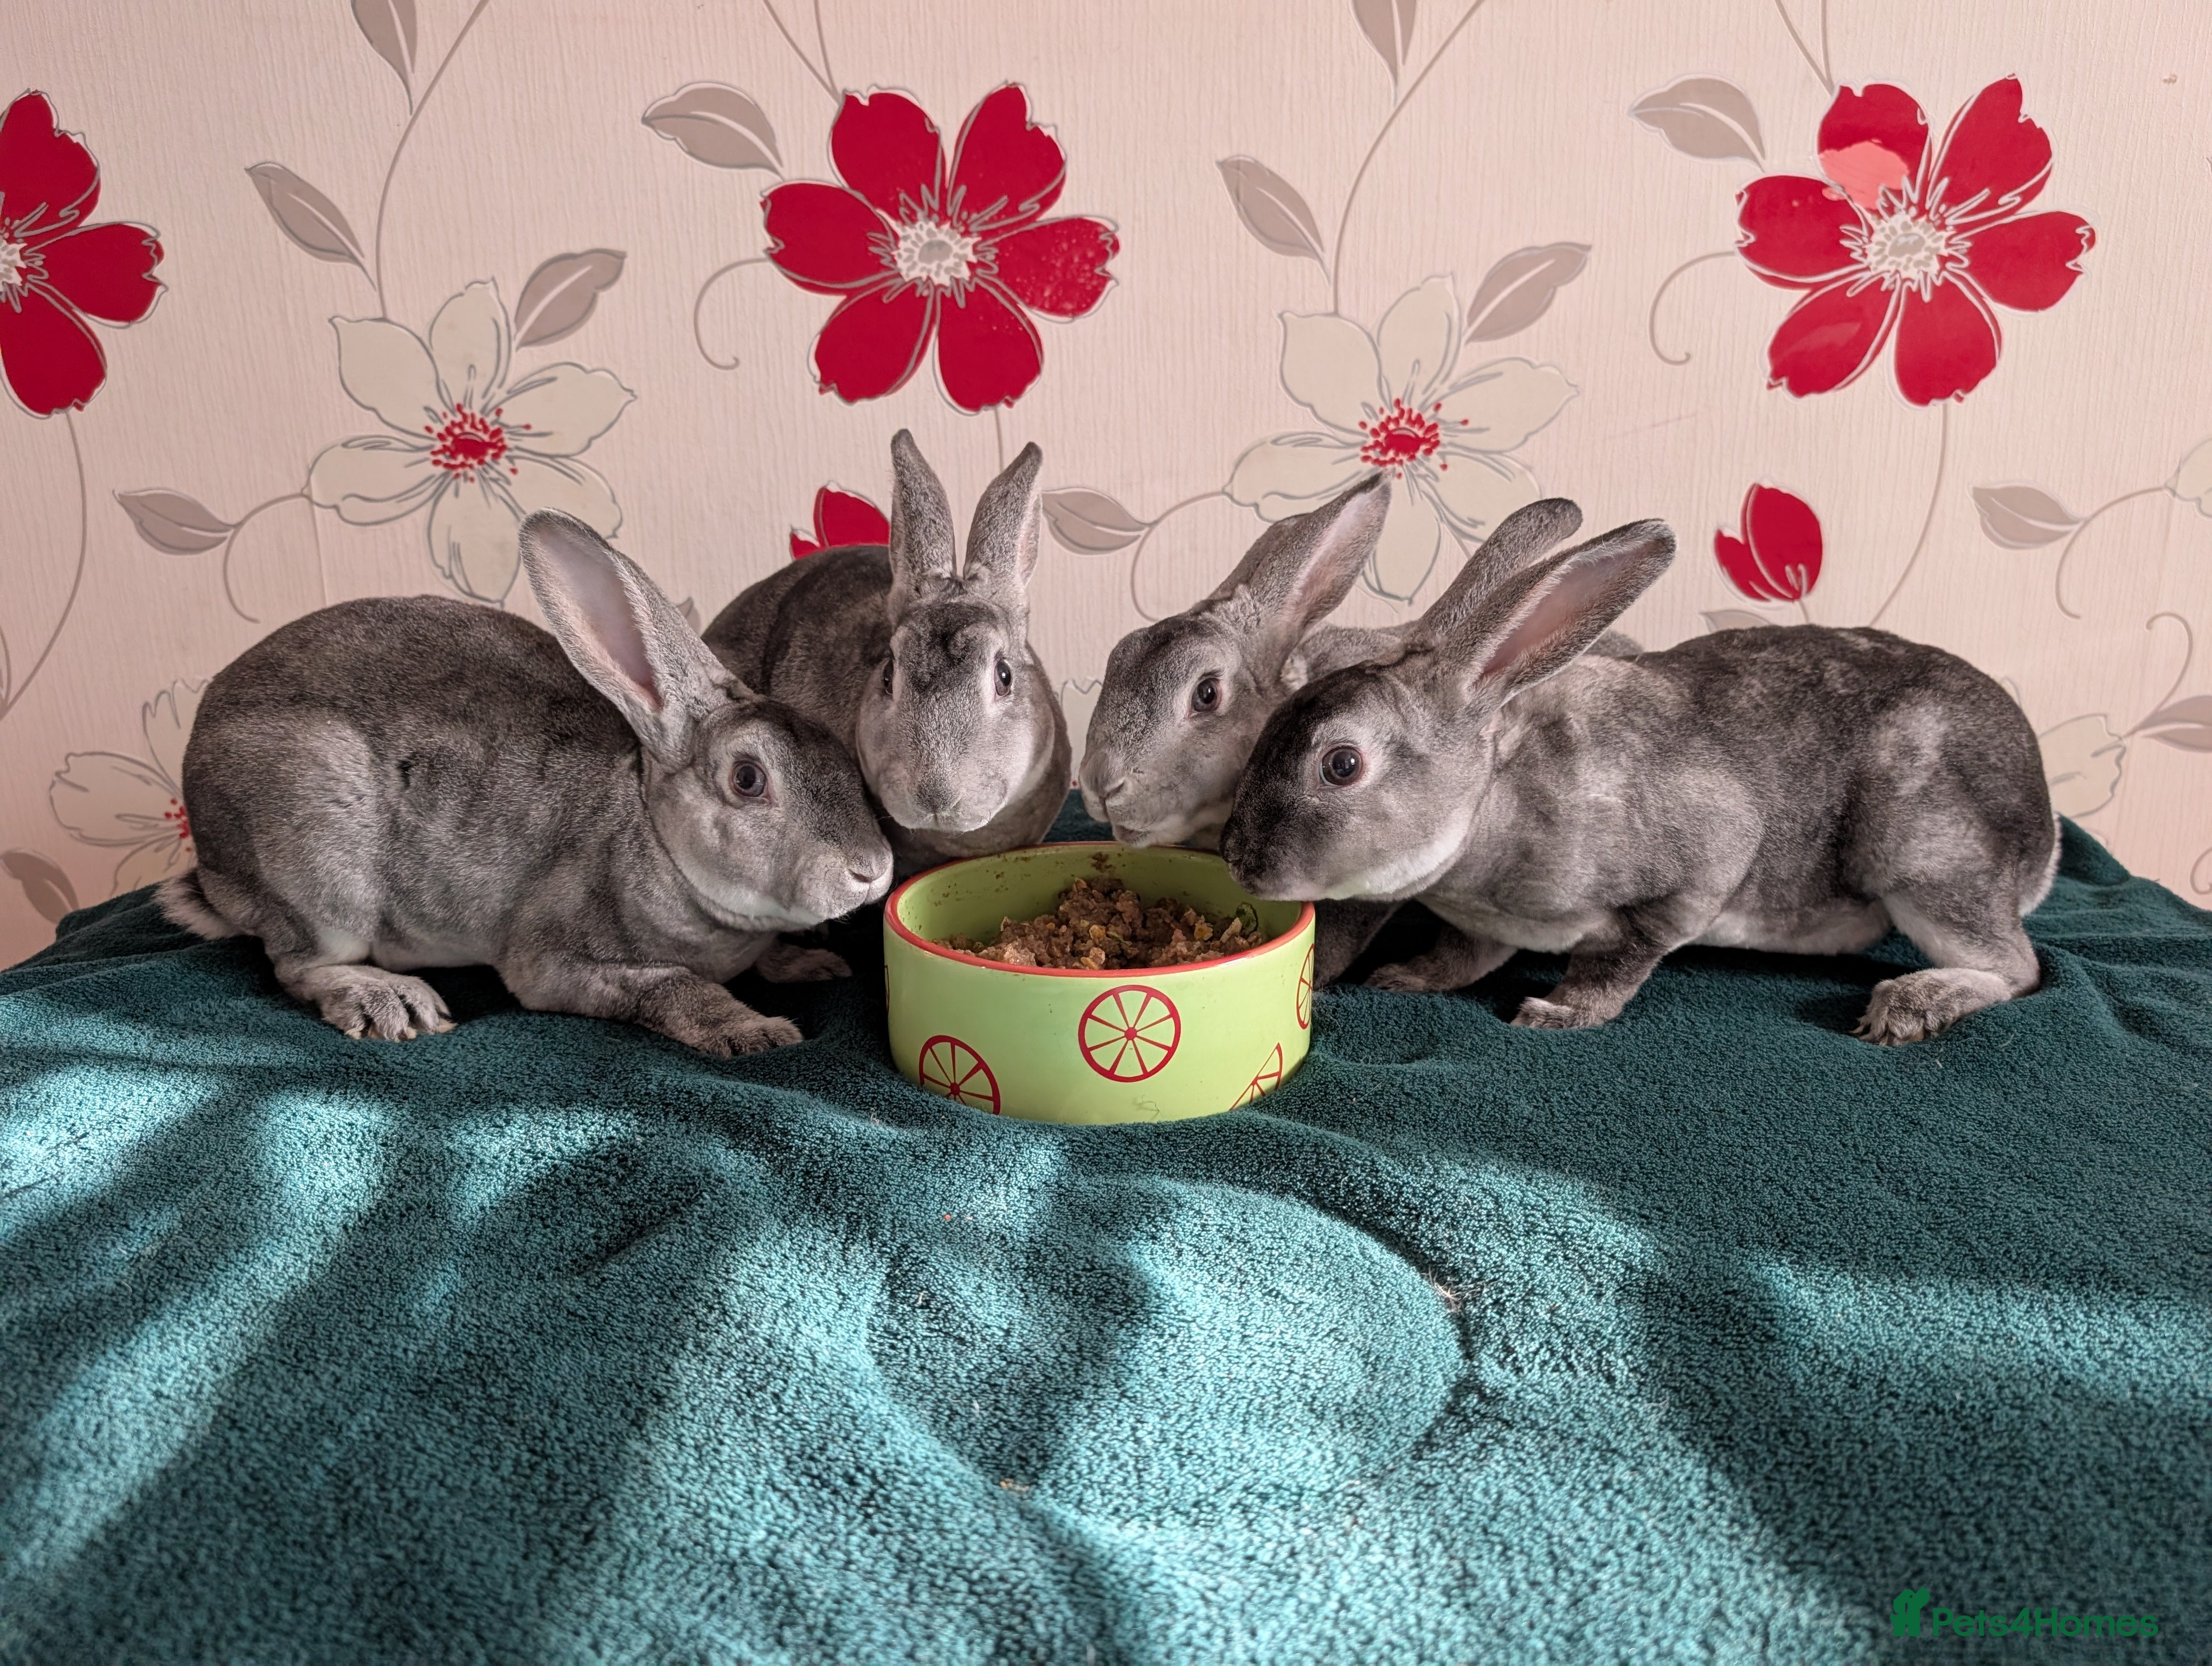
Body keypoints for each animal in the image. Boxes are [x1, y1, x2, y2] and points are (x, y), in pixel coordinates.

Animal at [159, 510, 894, 1055]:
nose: (873, 870)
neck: (653, 839)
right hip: (319, 875)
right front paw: (758, 1032)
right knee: (297, 965)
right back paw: (393, 1002)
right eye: (747, 778)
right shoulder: (558, 963)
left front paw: (809, 966)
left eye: (840, 754)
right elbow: (677, 987)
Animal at [1217, 510, 2059, 1044]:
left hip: (1923, 861)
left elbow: (1621, 960)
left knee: (2019, 969)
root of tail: (2044, 832)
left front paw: (1558, 1014)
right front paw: (1408, 977)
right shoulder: (1480, 923)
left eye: (1342, 764)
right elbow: (1465, 954)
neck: (1492, 799)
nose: (1235, 857)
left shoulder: (1695, 870)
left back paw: (1911, 1005)